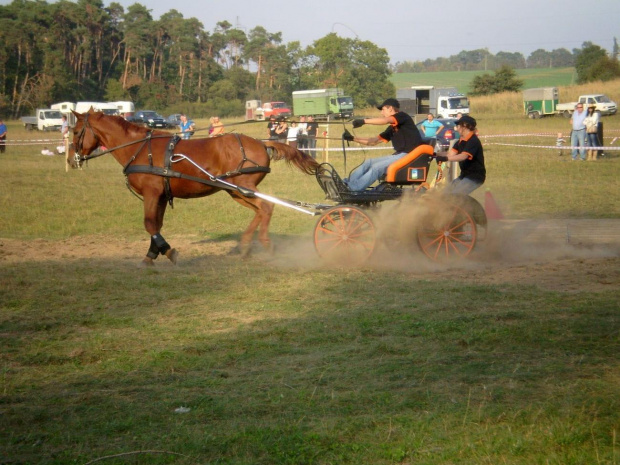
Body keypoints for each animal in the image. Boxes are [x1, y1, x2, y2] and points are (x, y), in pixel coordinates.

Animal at [70, 109, 318, 266]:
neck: (139, 149)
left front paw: (168, 251)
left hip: (241, 186)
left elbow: (149, 224)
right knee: (261, 210)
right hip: (236, 190)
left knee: (266, 207)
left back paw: (264, 243)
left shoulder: (152, 193)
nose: (74, 159)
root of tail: (262, 143)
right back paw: (246, 244)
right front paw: (151, 255)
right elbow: (156, 225)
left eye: (75, 131)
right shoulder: (161, 196)